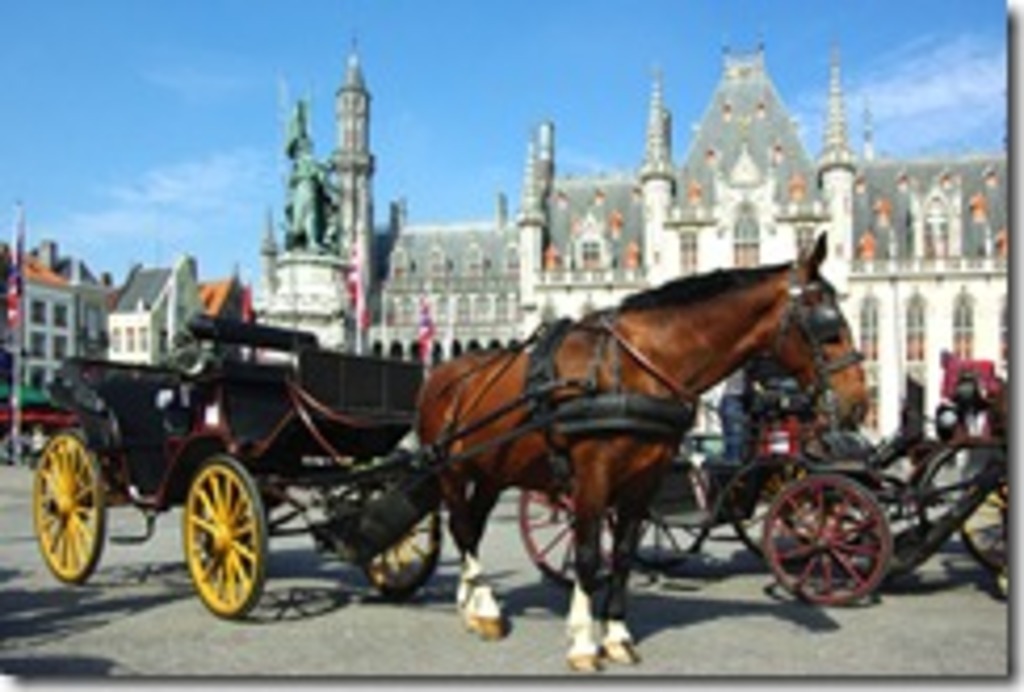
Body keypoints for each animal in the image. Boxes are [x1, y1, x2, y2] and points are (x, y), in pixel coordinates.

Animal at [414, 233, 868, 671]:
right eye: (828, 326)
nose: (858, 404)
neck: (636, 367)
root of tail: (442, 373)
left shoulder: (642, 483)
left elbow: (623, 556)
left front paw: (617, 637)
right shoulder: (593, 478)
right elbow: (587, 556)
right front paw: (583, 643)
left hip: (492, 474)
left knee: (471, 527)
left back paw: (471, 605)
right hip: (450, 472)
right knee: (462, 527)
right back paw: (486, 609)